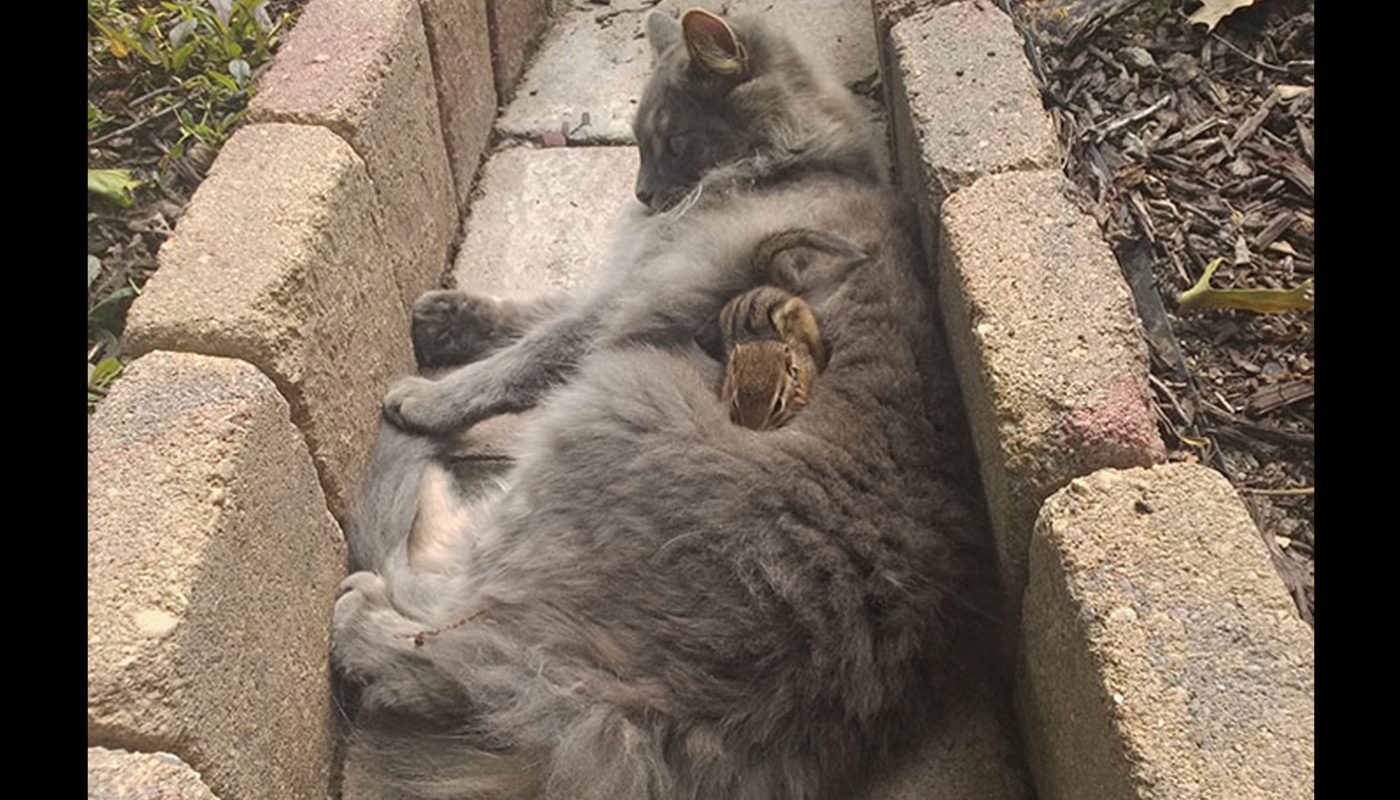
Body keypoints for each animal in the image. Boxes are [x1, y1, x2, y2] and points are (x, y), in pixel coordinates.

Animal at [336, 7, 996, 800]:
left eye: (673, 140)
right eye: (639, 143)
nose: (645, 195)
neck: (799, 162)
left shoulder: (638, 298)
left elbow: (532, 351)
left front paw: (430, 396)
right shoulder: (626, 281)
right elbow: (539, 309)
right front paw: (448, 317)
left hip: (601, 413)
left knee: (459, 637)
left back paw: (366, 608)